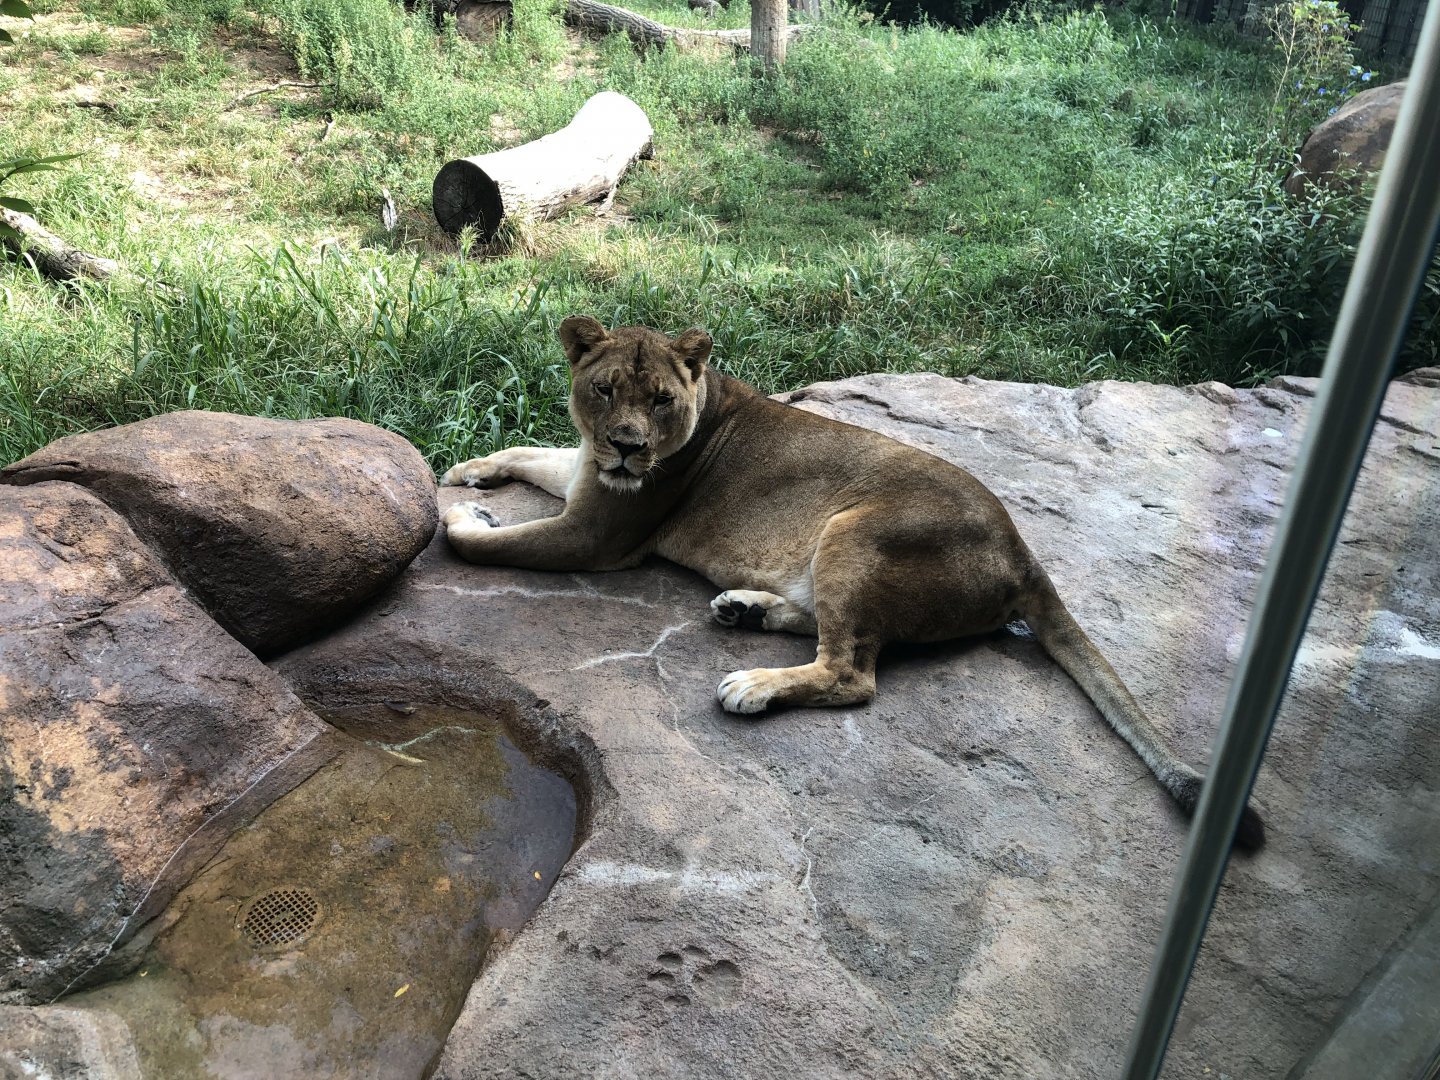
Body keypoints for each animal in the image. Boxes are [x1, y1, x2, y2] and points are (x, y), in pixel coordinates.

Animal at [440, 315, 1265, 848]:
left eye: (662, 402)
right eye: (607, 390)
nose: (626, 446)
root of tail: (1024, 550)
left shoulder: (600, 534)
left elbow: (485, 547)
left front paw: (463, 518)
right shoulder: (585, 482)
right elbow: (532, 452)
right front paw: (469, 468)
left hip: (854, 530)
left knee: (853, 672)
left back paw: (752, 684)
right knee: (841, 636)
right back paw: (743, 608)